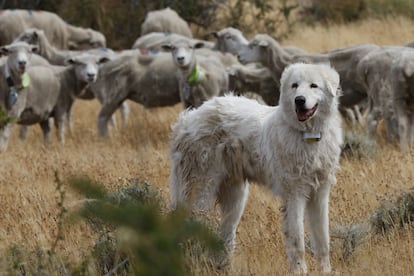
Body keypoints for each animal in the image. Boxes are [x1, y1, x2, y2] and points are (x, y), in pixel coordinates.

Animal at [168, 63, 342, 274]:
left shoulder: (320, 194)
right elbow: (298, 241)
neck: (308, 135)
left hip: (235, 200)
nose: (299, 100)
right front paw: (299, 271)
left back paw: (224, 268)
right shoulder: (295, 194)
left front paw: (326, 271)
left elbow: (323, 241)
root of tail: (187, 119)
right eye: (294, 86)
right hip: (202, 192)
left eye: (313, 86)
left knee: (226, 237)